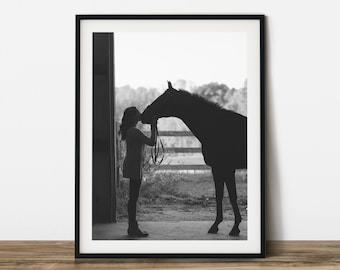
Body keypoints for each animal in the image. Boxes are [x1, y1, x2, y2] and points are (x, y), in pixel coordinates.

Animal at [141, 80, 247, 236]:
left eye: (164, 99)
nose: (144, 115)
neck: (218, 128)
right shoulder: (217, 169)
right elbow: (219, 195)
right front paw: (216, 225)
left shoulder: (227, 169)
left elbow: (232, 197)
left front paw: (235, 227)